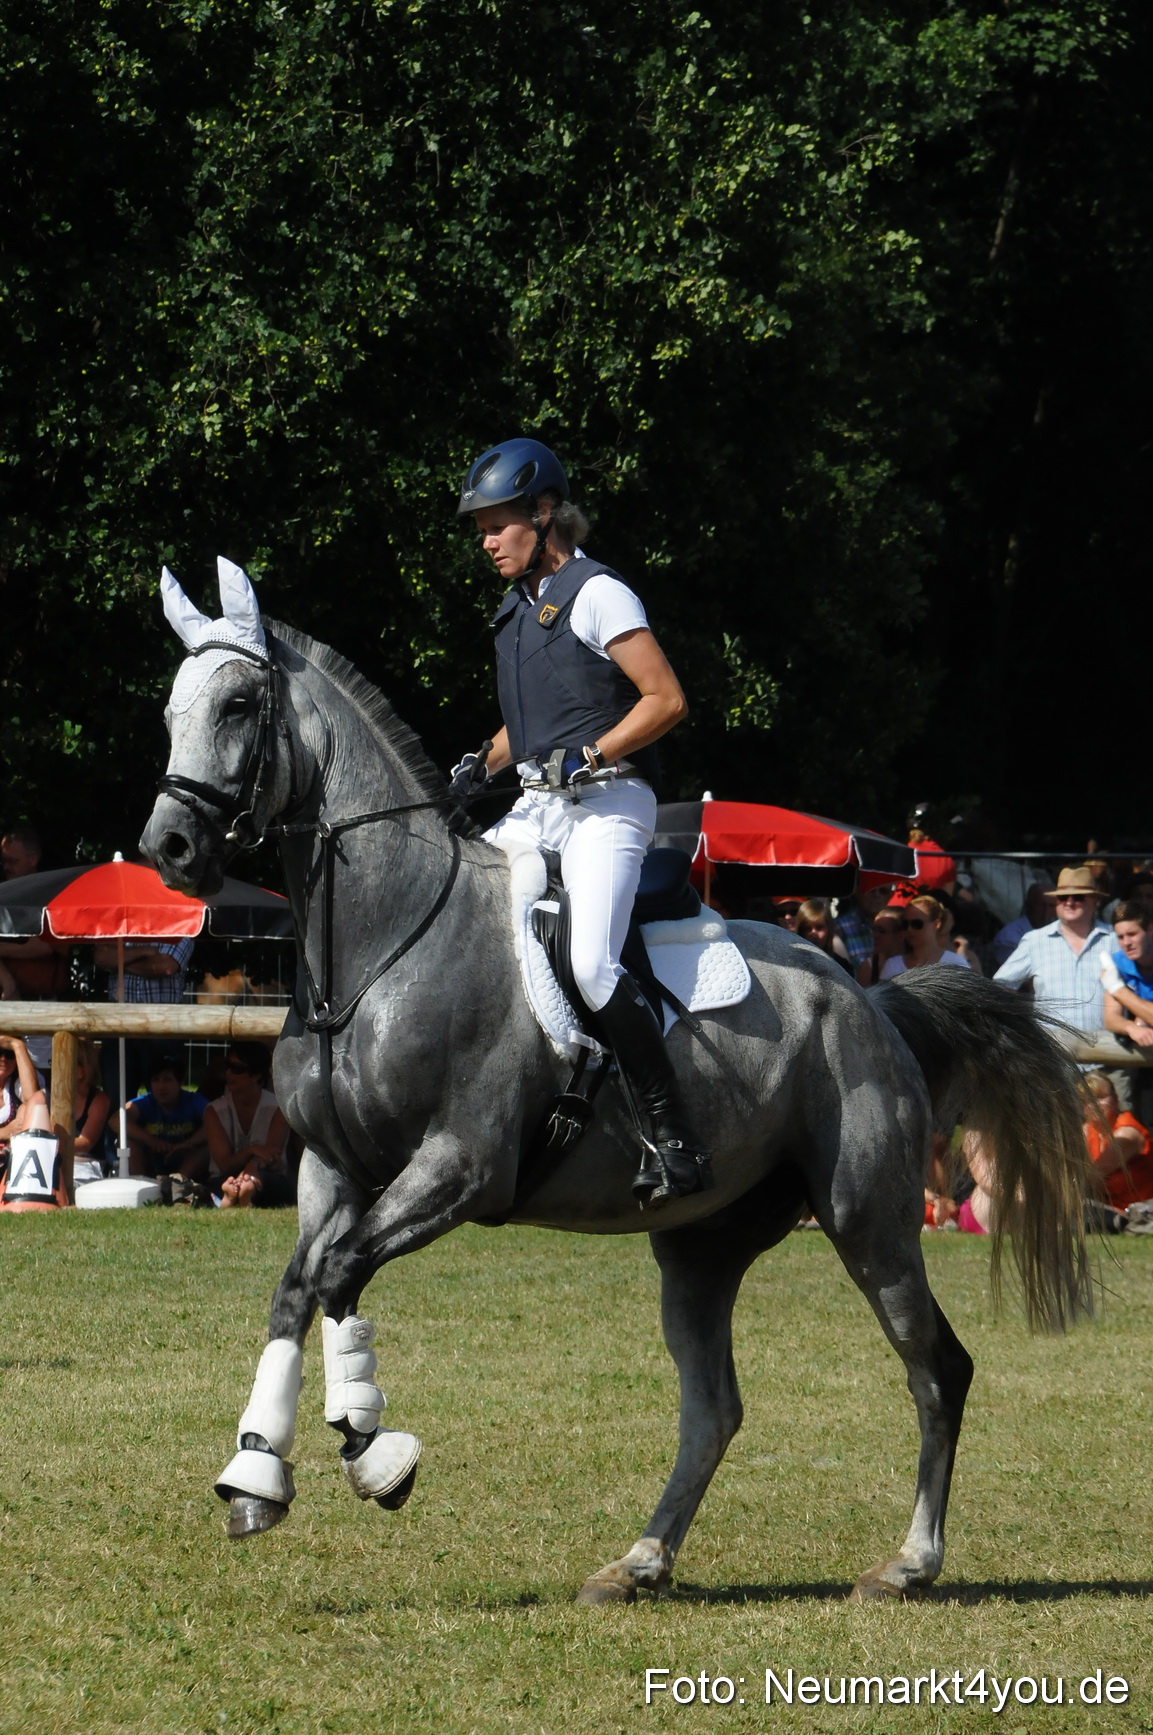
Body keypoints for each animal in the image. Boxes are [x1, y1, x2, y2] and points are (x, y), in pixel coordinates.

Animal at [141, 562, 1092, 1604]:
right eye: (172, 710)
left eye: (238, 704)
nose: (170, 848)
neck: (378, 946)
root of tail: (866, 1000)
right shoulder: (333, 1169)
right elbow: (302, 1286)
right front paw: (257, 1474)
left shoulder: (459, 1168)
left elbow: (340, 1274)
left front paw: (371, 1450)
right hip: (701, 1248)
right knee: (714, 1405)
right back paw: (640, 1559)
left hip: (865, 1218)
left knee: (934, 1367)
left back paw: (909, 1561)